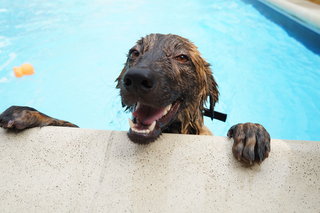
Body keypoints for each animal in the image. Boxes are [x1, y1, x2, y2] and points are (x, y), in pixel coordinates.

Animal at [0, 33, 270, 165]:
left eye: (182, 57)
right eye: (134, 52)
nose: (137, 78)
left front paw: (250, 131)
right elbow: (66, 123)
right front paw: (27, 113)